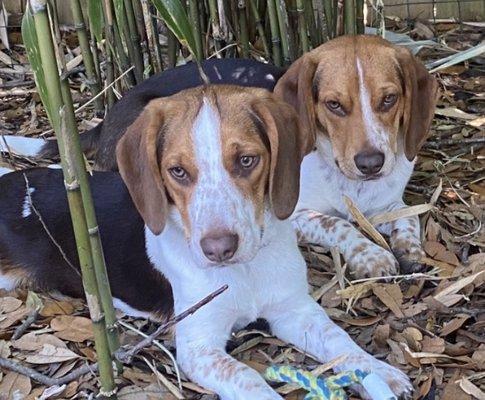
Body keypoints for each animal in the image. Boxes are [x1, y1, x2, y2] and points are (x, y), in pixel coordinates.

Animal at [0, 86, 410, 398]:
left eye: (247, 160)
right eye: (177, 171)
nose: (218, 249)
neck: (245, 270)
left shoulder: (295, 310)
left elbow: (340, 342)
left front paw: (380, 372)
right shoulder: (198, 347)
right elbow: (249, 378)